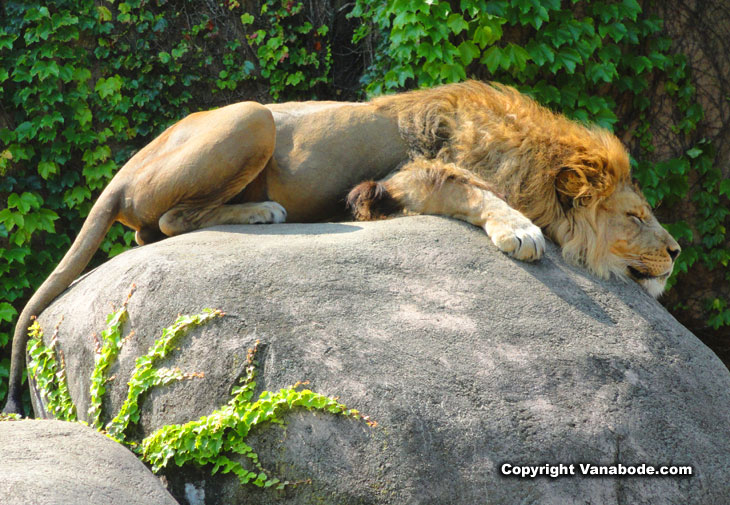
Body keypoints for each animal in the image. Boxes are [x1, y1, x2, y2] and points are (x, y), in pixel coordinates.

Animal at [2, 81, 680, 414]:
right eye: (636, 215)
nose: (675, 253)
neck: (527, 156)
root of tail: (123, 170)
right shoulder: (410, 175)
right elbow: (474, 191)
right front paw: (520, 231)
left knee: (149, 230)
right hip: (251, 115)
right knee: (164, 223)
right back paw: (263, 212)